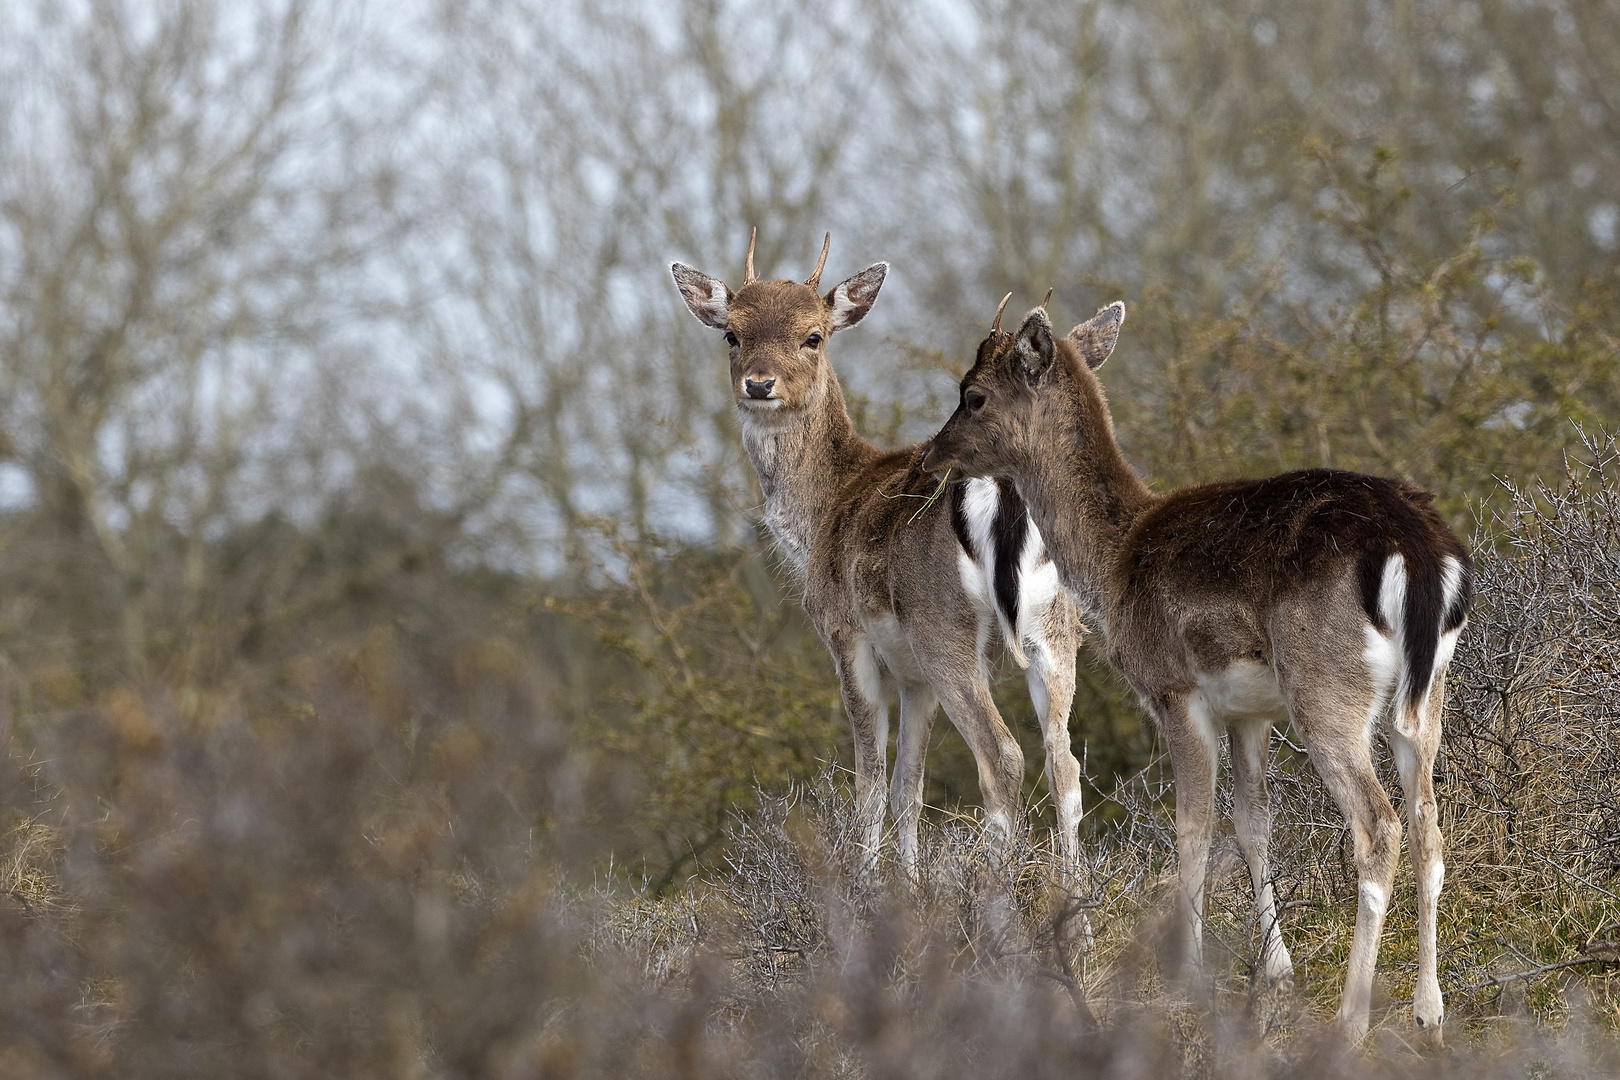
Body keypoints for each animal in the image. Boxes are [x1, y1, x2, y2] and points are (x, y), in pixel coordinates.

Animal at [670, 234, 1088, 880]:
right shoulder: (913, 676)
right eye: (732, 334)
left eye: (813, 335)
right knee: (1064, 763)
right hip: (1054, 626)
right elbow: (906, 787)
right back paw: (1079, 903)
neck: (820, 514)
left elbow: (868, 781)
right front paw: (908, 886)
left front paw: (868, 886)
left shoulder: (846, 635)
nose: (760, 384)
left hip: (944, 628)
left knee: (1003, 756)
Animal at [926, 299, 1470, 1042]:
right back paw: (1429, 1012)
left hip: (1326, 689)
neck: (1113, 563)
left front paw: (1184, 981)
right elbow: (1252, 824)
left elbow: (1192, 826)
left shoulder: (1173, 688)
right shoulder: (1250, 712)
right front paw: (1275, 976)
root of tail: (1420, 553)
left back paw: (1351, 1021)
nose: (931, 454)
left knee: (1379, 826)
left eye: (973, 393)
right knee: (1430, 826)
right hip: (1423, 694)